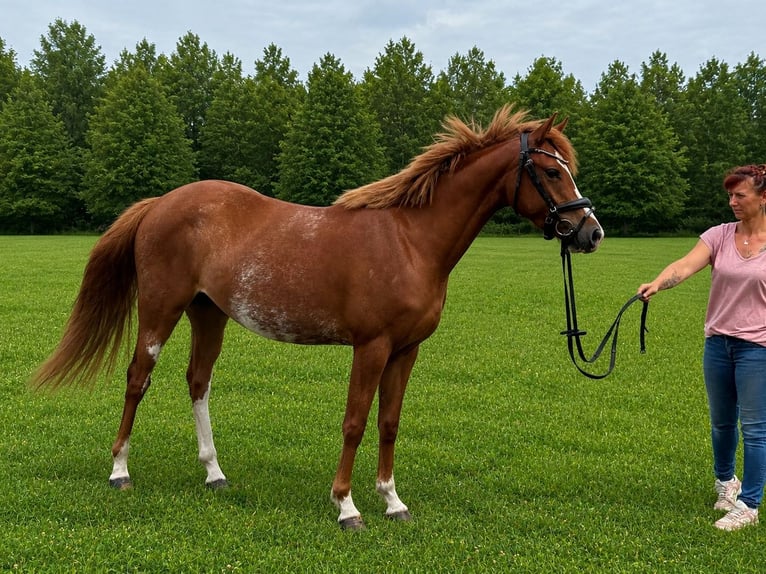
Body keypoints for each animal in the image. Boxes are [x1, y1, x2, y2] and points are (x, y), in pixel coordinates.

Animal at [31, 105, 603, 530]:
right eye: (551, 171)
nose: (590, 233)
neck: (410, 240)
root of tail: (160, 204)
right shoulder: (371, 347)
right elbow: (355, 422)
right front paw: (346, 506)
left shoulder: (406, 350)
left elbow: (389, 423)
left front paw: (392, 501)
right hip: (159, 311)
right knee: (137, 379)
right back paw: (119, 470)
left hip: (208, 315)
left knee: (197, 382)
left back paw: (214, 473)